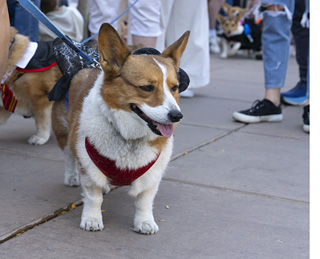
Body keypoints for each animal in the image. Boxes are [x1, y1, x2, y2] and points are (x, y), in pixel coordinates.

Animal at [50, 24, 190, 235]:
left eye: (174, 87)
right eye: (147, 87)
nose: (176, 116)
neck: (129, 136)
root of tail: (84, 65)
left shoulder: (152, 174)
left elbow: (144, 201)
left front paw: (144, 222)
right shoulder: (89, 169)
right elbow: (93, 197)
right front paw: (92, 219)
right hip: (64, 133)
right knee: (69, 156)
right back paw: (72, 176)